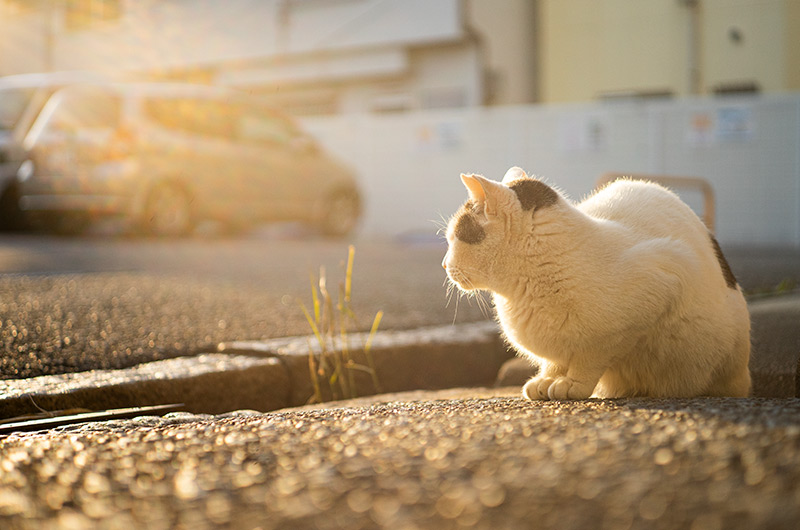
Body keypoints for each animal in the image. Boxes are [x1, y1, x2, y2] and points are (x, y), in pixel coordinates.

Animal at [444, 167, 752, 398]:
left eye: (455, 237)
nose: (445, 264)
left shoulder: (665, 276)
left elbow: (592, 356)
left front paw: (573, 383)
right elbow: (554, 361)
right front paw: (547, 380)